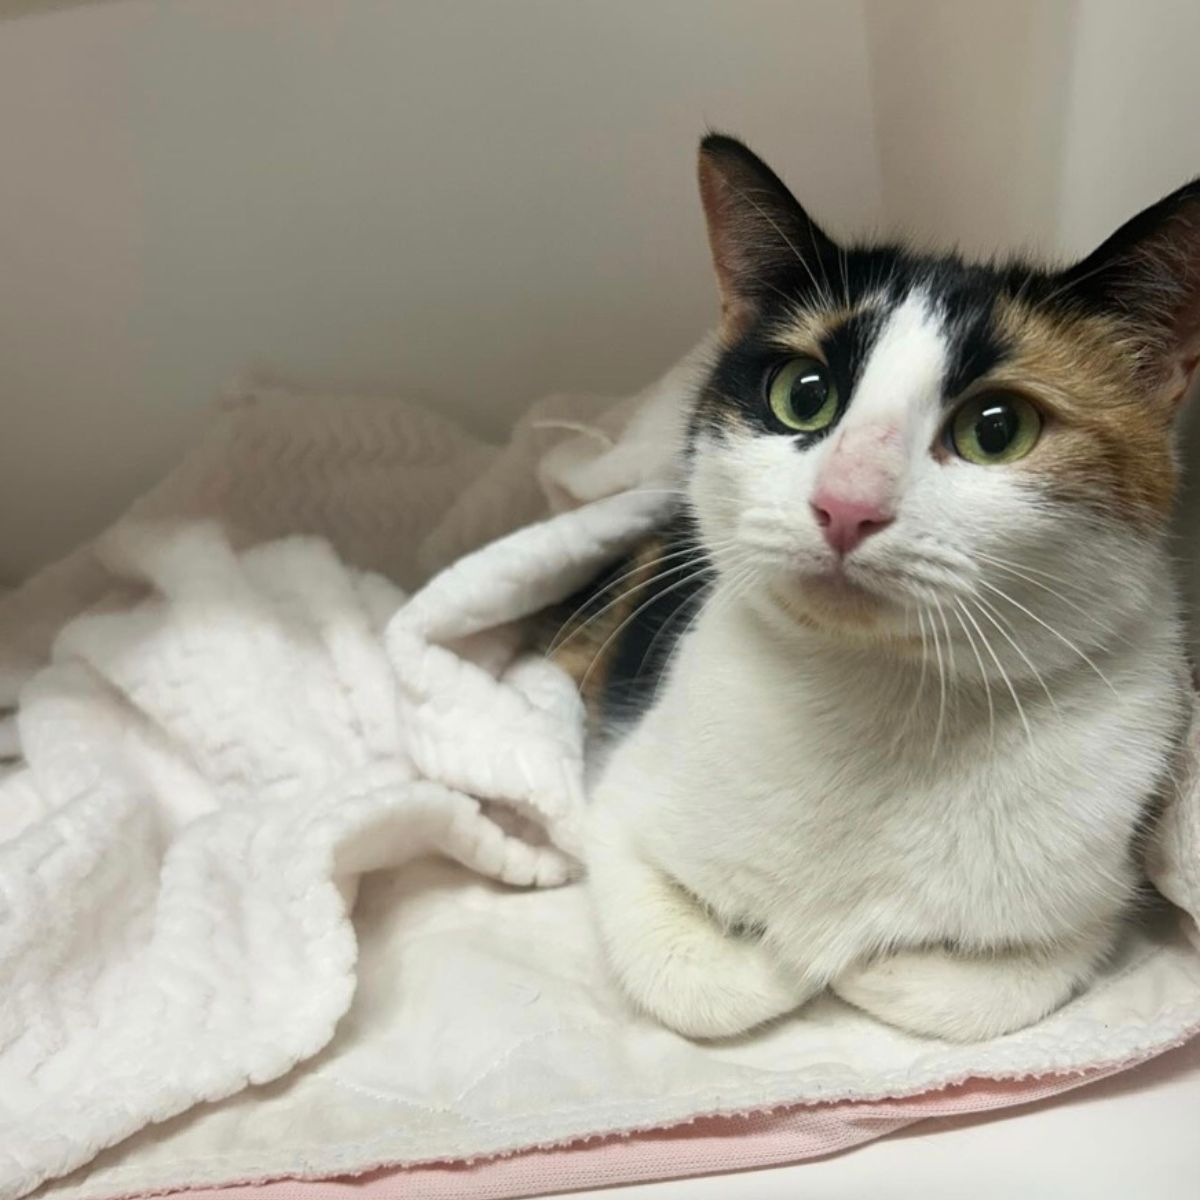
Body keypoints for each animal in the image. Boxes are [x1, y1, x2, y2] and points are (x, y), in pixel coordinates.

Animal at [549, 133, 1195, 1041]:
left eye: (998, 429)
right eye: (803, 394)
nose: (845, 504)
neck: (878, 697)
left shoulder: (1087, 906)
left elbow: (986, 988)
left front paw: (858, 962)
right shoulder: (620, 809)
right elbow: (699, 983)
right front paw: (788, 960)